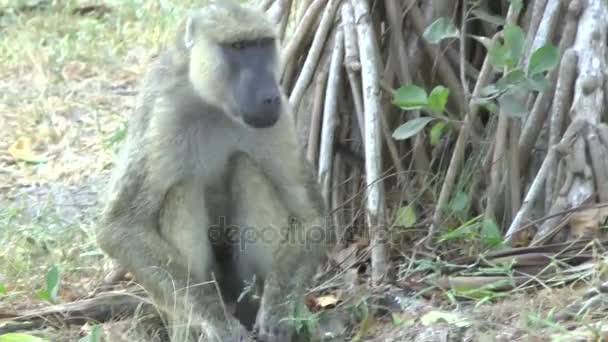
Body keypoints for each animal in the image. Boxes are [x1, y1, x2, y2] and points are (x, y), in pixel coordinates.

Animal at [95, 1, 330, 340]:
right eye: (238, 47)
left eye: (262, 44)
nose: (268, 95)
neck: (214, 105)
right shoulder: (162, 111)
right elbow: (119, 226)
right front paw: (218, 323)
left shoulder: (281, 115)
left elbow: (312, 217)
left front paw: (277, 312)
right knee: (183, 187)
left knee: (247, 167)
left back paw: (256, 305)